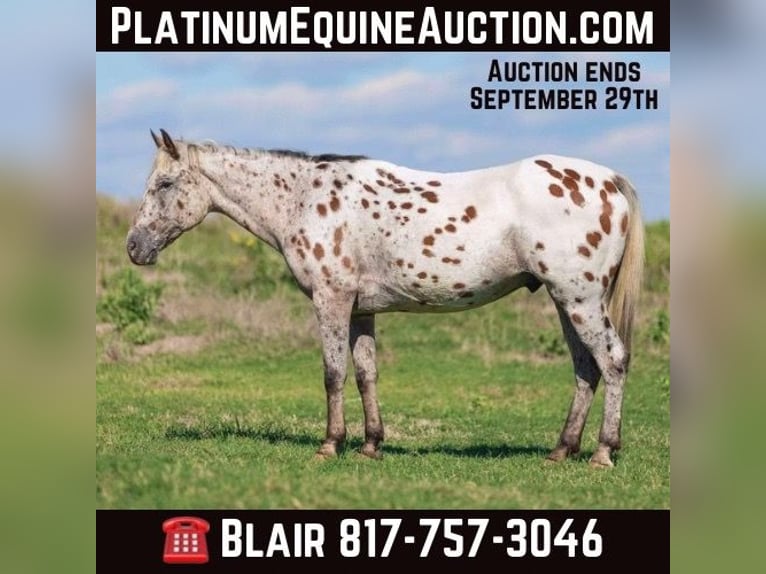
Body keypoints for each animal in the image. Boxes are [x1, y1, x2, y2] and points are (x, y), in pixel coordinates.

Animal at [127, 129, 644, 468]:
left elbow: (333, 374)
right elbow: (365, 375)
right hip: (565, 301)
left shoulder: (331, 301)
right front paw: (371, 444)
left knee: (613, 360)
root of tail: (609, 180)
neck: (303, 198)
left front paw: (331, 444)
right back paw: (561, 450)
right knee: (585, 367)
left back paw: (602, 452)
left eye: (164, 185)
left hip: (579, 299)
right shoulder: (361, 310)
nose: (134, 246)